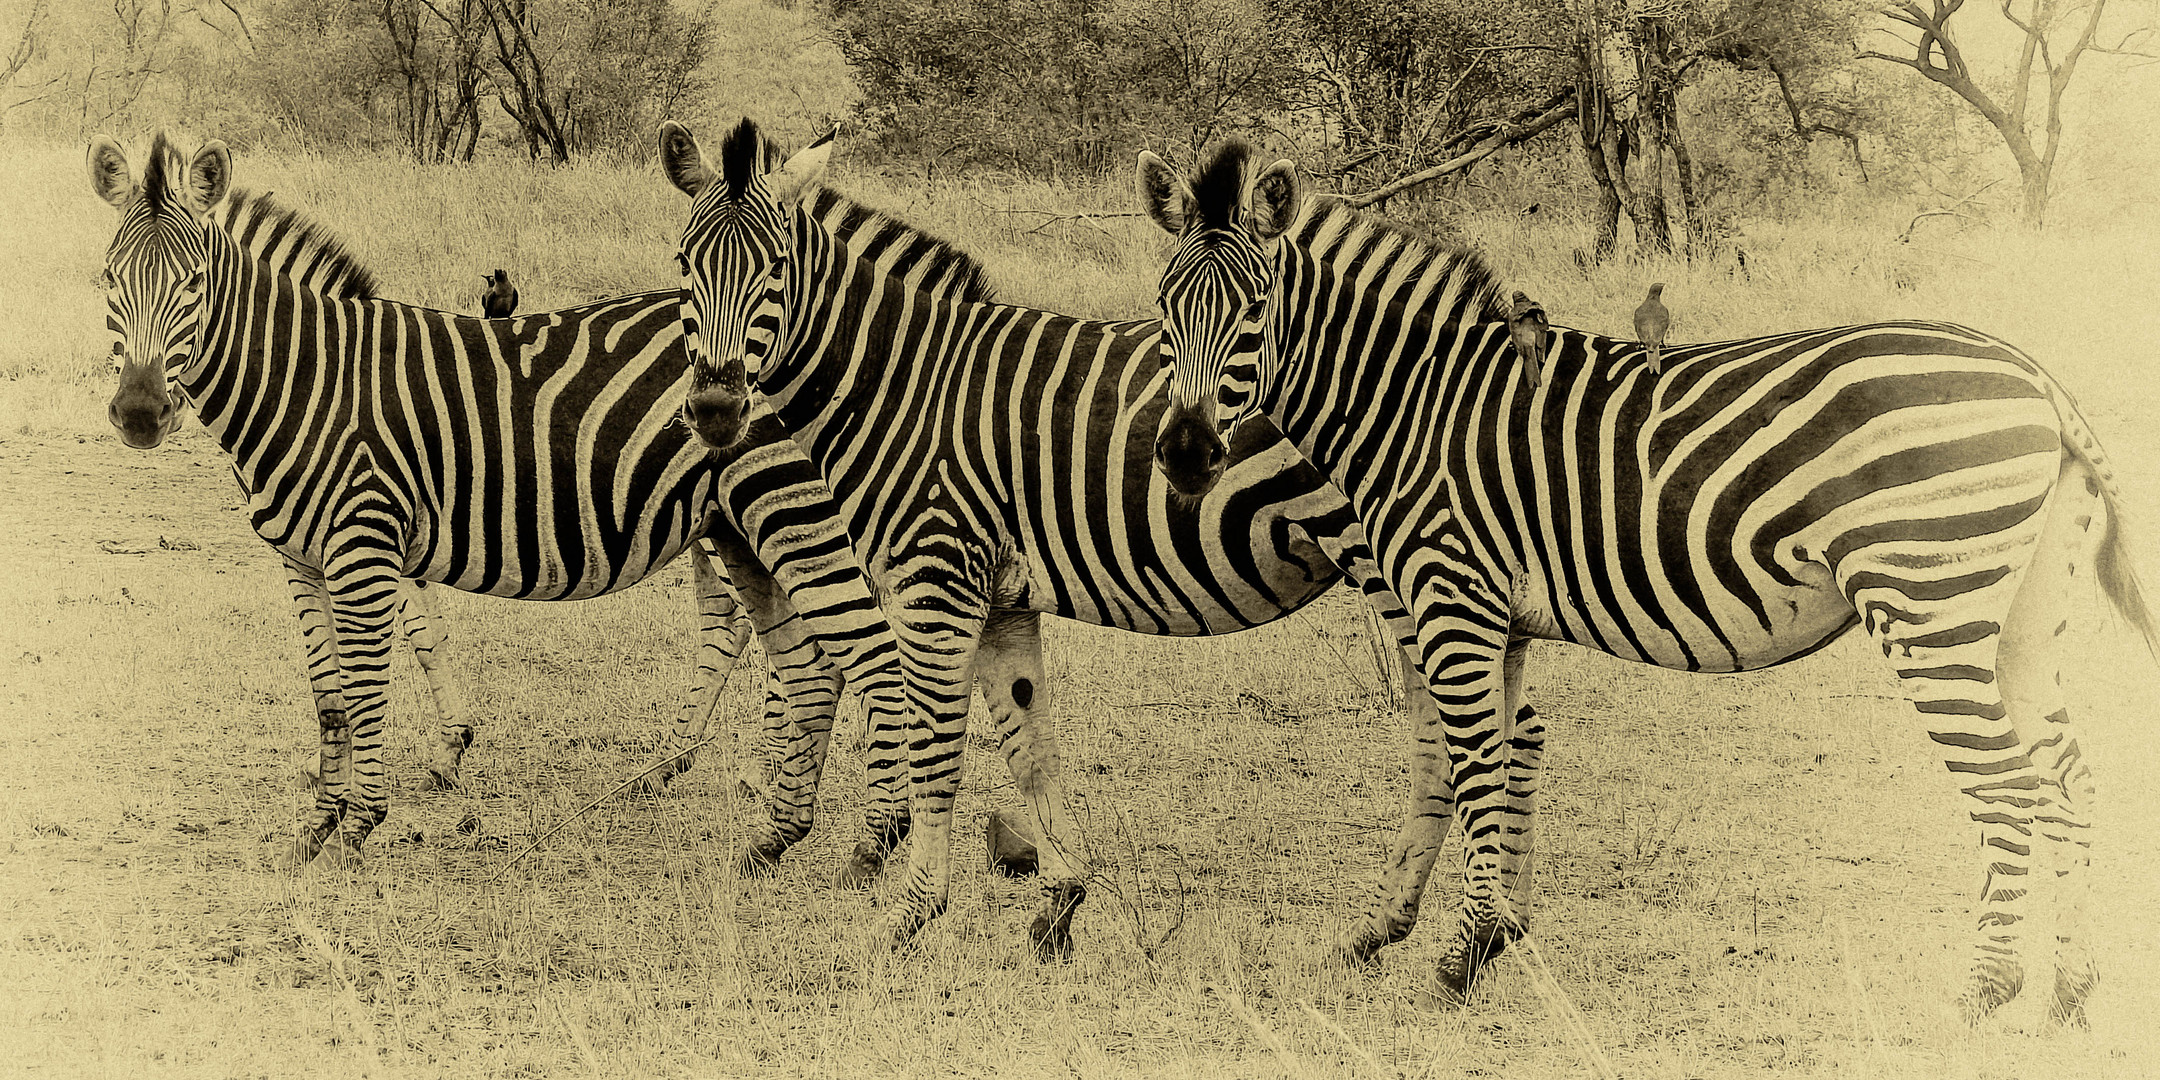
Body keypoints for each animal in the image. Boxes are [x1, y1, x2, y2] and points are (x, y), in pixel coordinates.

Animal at [86, 130, 902, 864]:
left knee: (852, 650)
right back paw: (770, 822)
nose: (139, 413)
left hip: (788, 507)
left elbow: (371, 678)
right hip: (735, 525)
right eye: (106, 282)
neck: (311, 379)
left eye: (194, 282)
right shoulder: (302, 556)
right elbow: (332, 693)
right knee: (802, 658)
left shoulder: (366, 540)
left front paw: (361, 825)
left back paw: (853, 834)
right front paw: (317, 827)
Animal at [656, 120, 1486, 963]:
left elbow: (936, 749)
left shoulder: (937, 575)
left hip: (1408, 569)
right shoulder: (1001, 593)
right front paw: (1060, 898)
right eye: (684, 264)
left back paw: (1397, 928)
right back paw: (1382, 930)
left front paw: (911, 914)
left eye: (774, 270)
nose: (715, 410)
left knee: (1448, 738)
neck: (903, 384)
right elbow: (1029, 745)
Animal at [1140, 139, 2151, 1023]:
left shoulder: (1452, 592)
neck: (1413, 400)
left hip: (1926, 597)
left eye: (1255, 310)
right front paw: (1493, 940)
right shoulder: (1501, 618)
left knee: (2007, 785)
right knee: (2068, 778)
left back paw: (1981, 992)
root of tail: (2040, 381)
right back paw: (2071, 991)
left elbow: (1473, 765)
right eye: (1163, 307)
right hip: (2024, 613)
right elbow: (1499, 759)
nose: (1184, 454)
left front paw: (1458, 962)